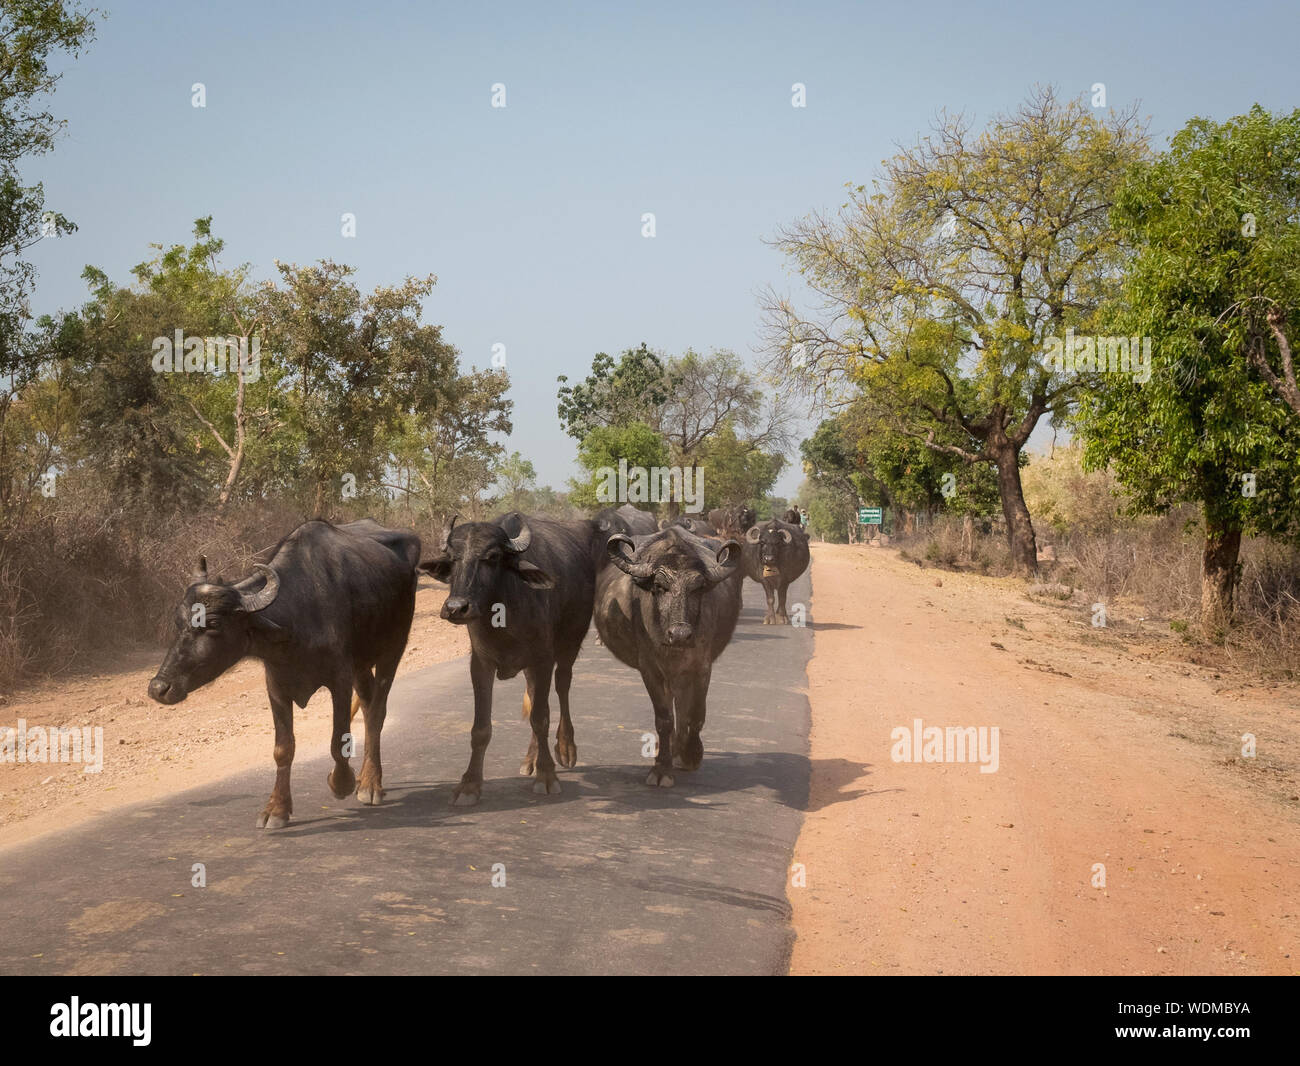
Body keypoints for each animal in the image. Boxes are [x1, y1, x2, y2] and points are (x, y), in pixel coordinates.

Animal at [149, 520, 418, 826]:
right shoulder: (276, 687)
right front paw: (276, 809)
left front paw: (341, 783)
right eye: (178, 621)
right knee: (368, 702)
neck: (300, 615)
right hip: (361, 664)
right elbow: (283, 749)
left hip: (392, 650)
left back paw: (370, 784)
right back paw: (364, 777)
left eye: (213, 623)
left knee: (377, 712)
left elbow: (338, 740)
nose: (159, 688)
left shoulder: (339, 680)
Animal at [416, 512, 598, 806]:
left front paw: (547, 775)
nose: (456, 607)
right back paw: (530, 759)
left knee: (562, 687)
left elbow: (541, 718)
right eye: (453, 558)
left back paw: (566, 748)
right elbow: (481, 728)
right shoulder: (481, 664)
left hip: (570, 644)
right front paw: (469, 785)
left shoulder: (543, 660)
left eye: (492, 557)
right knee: (535, 697)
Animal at [595, 527, 743, 785]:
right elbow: (664, 720)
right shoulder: (651, 670)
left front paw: (692, 754)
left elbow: (696, 714)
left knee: (683, 708)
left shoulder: (701, 667)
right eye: (660, 586)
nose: (680, 634)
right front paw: (661, 768)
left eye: (697, 588)